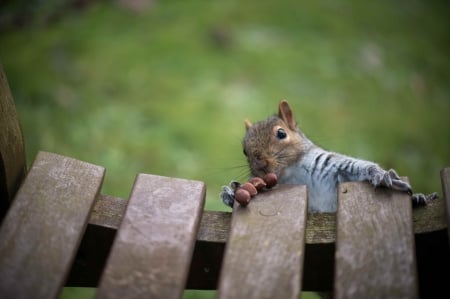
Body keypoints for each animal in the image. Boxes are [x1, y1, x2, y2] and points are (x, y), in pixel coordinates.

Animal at [223, 99, 438, 212]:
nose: (260, 164)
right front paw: (231, 193)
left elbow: (355, 167)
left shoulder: (328, 165)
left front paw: (381, 175)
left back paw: (418, 198)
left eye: (281, 133)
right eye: (244, 150)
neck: (290, 174)